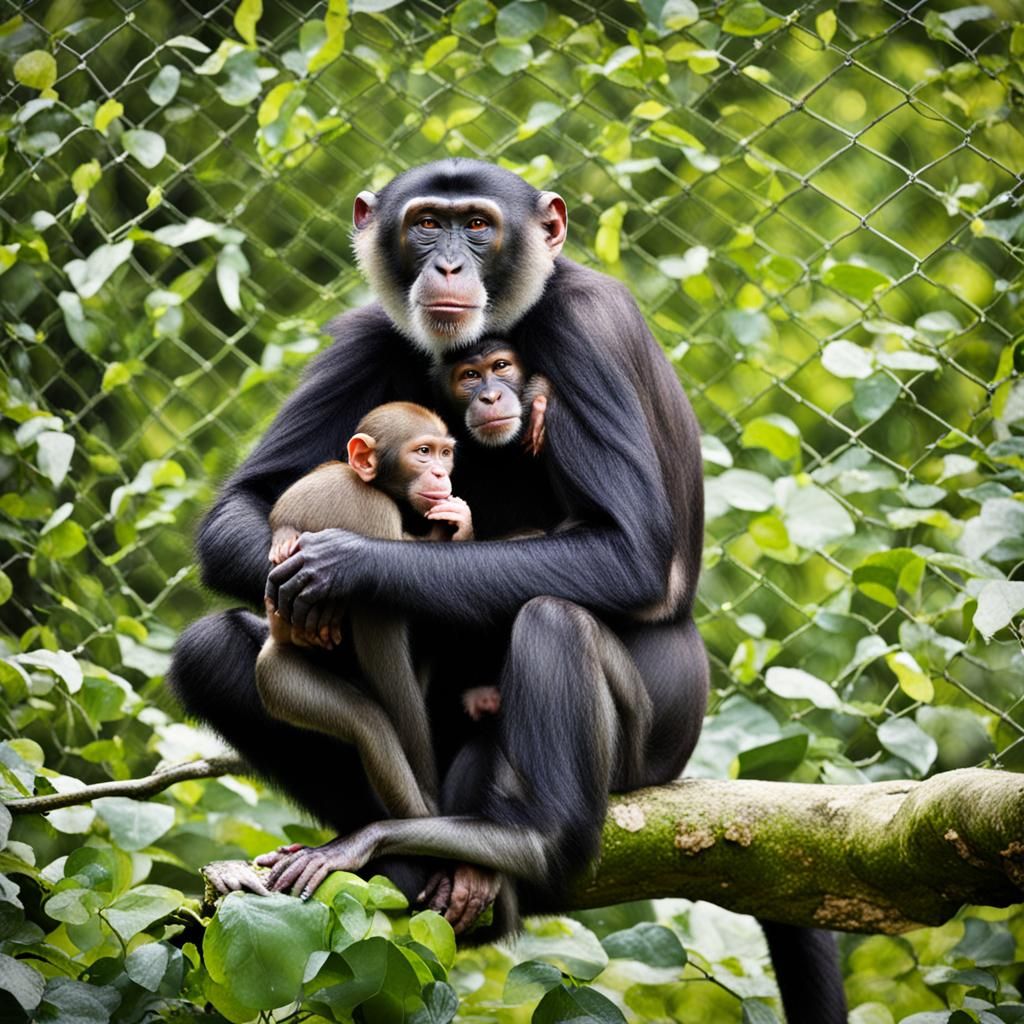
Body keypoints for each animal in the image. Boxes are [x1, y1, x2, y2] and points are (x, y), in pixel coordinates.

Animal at [170, 160, 847, 1019]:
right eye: (427, 223)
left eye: (480, 226)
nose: (450, 263)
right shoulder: (363, 335)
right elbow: (246, 504)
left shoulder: (588, 331)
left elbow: (626, 551)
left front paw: (343, 566)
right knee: (213, 649)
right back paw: (404, 862)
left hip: (650, 744)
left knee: (554, 621)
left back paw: (519, 845)